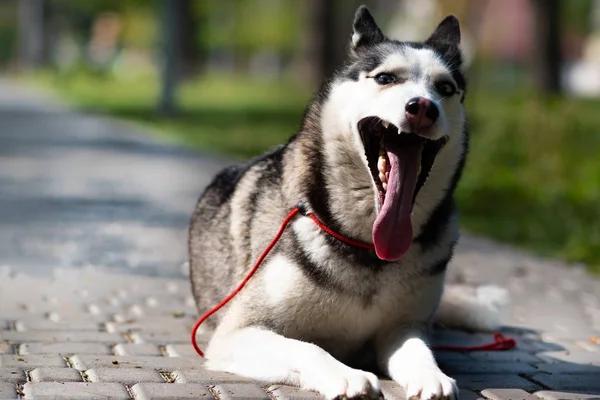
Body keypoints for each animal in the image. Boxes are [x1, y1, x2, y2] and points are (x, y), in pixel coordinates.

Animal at [190, 6, 508, 400]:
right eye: (385, 77)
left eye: (445, 89)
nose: (423, 107)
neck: (367, 246)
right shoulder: (237, 333)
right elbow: (308, 347)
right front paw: (345, 374)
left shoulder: (402, 327)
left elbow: (418, 350)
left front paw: (429, 374)